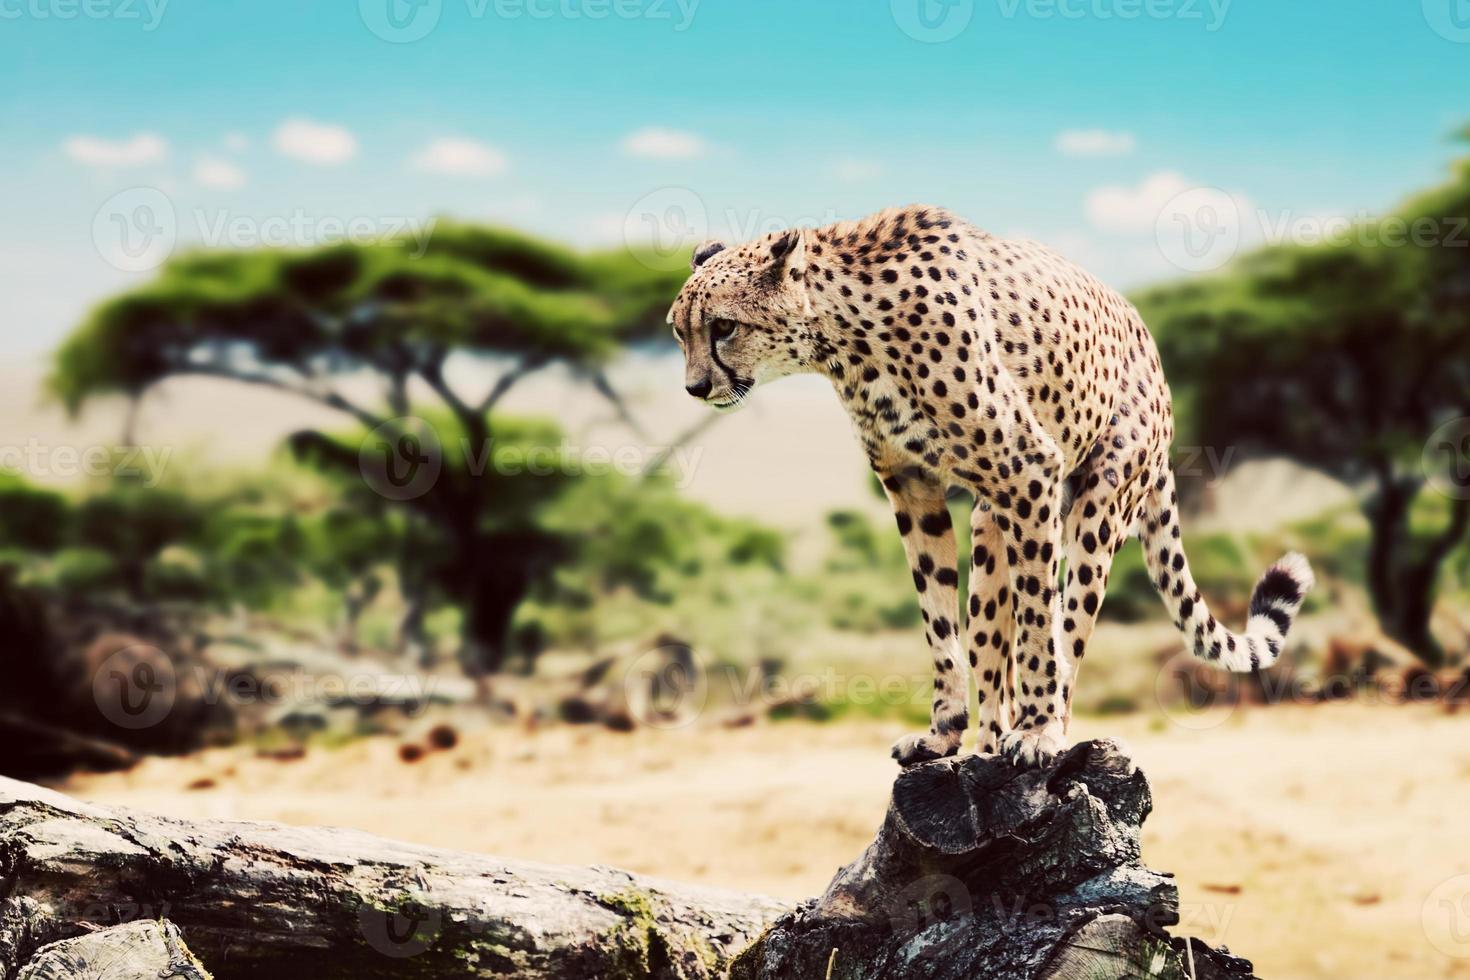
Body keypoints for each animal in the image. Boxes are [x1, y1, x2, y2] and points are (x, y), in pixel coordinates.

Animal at [673, 207, 1317, 769]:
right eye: (678, 333)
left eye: (724, 327)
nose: (695, 388)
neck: (844, 337)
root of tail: (1151, 346)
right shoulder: (912, 486)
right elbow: (938, 617)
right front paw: (942, 732)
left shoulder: (1029, 467)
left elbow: (1038, 624)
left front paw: (1036, 732)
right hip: (991, 522)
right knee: (991, 635)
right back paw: (987, 743)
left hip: (1097, 503)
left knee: (1069, 624)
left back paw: (1049, 726)